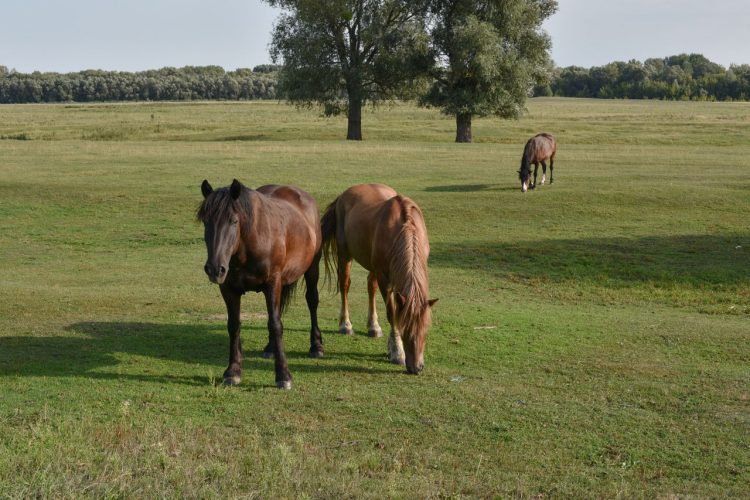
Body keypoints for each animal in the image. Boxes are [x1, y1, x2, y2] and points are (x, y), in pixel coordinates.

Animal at [197, 179, 323, 389]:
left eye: (233, 221)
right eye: (206, 221)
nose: (215, 269)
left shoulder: (272, 284)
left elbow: (275, 324)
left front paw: (283, 375)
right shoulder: (228, 289)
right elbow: (234, 325)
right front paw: (233, 371)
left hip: (312, 267)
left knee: (312, 301)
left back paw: (316, 345)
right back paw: (271, 347)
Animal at [320, 184, 437, 375]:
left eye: (426, 330)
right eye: (406, 330)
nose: (416, 368)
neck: (405, 227)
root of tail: (343, 196)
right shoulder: (385, 279)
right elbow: (392, 314)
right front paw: (397, 351)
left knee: (370, 286)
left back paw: (373, 326)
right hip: (345, 255)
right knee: (345, 286)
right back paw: (345, 325)